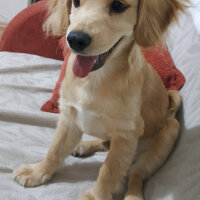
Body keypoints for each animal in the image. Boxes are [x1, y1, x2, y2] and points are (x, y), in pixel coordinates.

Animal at [13, 0, 187, 200]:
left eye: (118, 5)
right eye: (76, 2)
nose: (75, 39)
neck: (94, 79)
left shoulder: (126, 135)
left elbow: (109, 171)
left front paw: (95, 196)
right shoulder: (69, 118)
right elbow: (55, 149)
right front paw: (38, 171)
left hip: (166, 137)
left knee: (135, 174)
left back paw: (133, 195)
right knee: (105, 144)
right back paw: (84, 146)